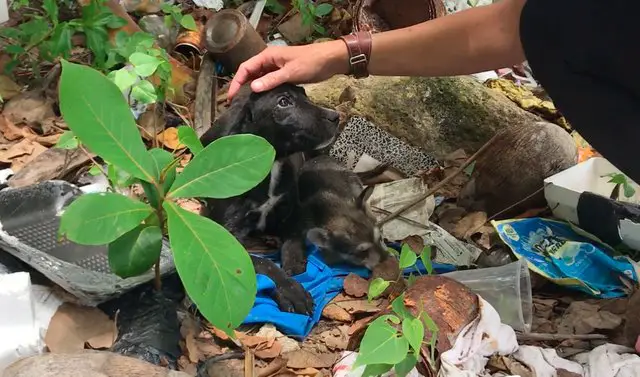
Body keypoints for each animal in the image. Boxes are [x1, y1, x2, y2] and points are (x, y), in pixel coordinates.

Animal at [200, 84, 340, 314]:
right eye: (283, 102)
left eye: (305, 93)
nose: (335, 116)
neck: (271, 163)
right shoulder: (229, 240)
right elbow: (264, 264)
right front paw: (291, 291)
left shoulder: (293, 211)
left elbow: (294, 238)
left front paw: (295, 263)